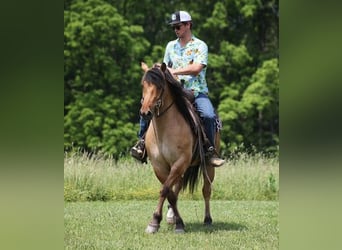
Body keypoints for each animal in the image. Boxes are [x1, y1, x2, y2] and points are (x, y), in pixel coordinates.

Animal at [140, 62, 222, 232]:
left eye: (160, 86)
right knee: (177, 188)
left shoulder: (180, 162)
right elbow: (169, 192)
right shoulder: (159, 165)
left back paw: (207, 219)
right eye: (143, 84)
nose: (145, 112)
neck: (165, 129)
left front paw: (163, 222)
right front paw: (160, 221)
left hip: (208, 167)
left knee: (206, 190)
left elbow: (166, 190)